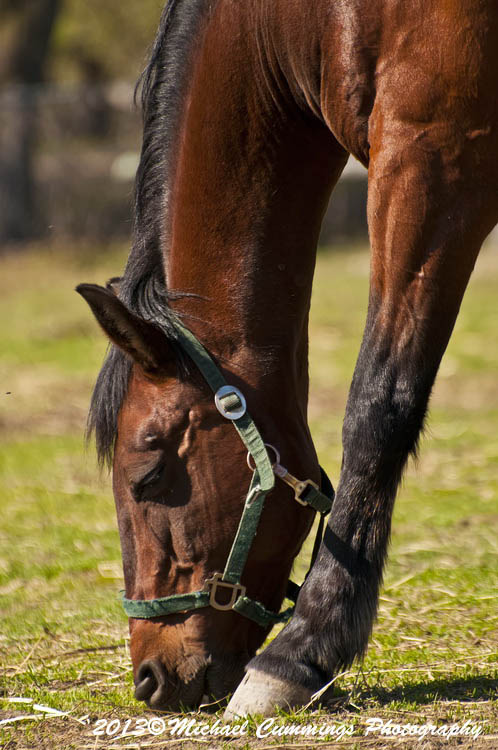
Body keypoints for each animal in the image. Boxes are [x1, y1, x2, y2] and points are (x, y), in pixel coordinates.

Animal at [77, 0, 498, 716]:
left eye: (148, 477)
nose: (150, 679)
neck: (301, 21)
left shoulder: (433, 157)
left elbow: (379, 404)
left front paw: (301, 651)